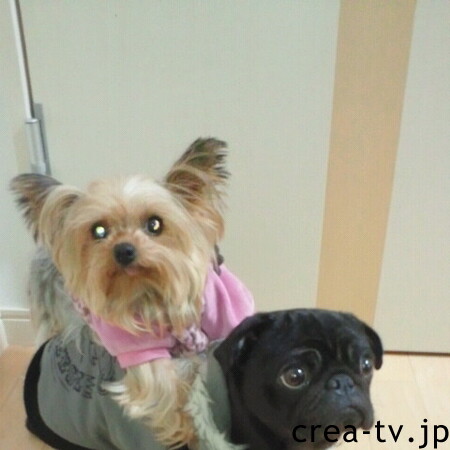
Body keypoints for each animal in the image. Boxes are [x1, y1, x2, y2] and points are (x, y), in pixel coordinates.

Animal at [11, 138, 254, 448]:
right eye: (98, 230)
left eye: (155, 224)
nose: (124, 250)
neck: (151, 290)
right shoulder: (135, 344)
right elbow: (162, 383)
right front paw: (184, 426)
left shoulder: (225, 308)